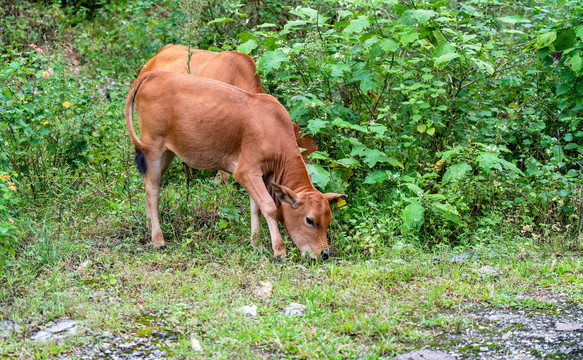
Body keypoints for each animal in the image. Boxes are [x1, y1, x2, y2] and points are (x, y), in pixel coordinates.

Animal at [125, 71, 344, 258]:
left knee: (148, 184)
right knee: (152, 188)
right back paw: (158, 239)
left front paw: (257, 245)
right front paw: (279, 251)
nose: (324, 254)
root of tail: (153, 74)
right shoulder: (246, 171)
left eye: (328, 220)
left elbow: (256, 208)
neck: (275, 132)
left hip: (168, 153)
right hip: (153, 148)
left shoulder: (261, 175)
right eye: (310, 220)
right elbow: (269, 207)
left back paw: (148, 225)